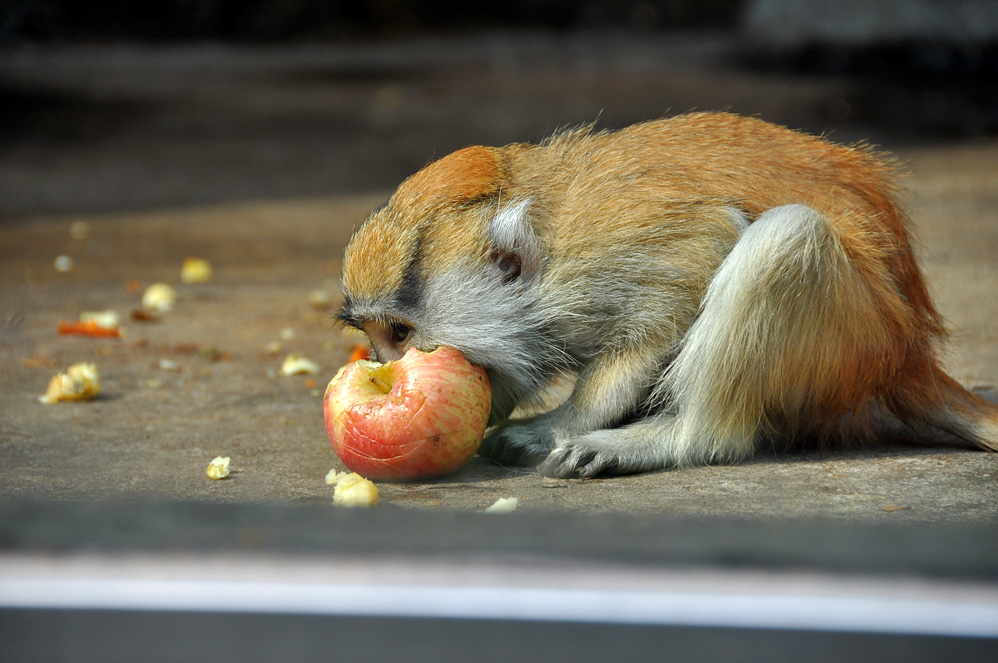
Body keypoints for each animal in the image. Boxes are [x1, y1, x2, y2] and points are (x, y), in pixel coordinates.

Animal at [336, 113, 998, 478]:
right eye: (373, 336)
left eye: (401, 333)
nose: (384, 368)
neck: (539, 241)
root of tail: (905, 351)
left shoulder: (603, 254)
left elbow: (704, 248)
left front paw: (562, 424)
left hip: (855, 334)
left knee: (787, 236)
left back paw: (674, 440)